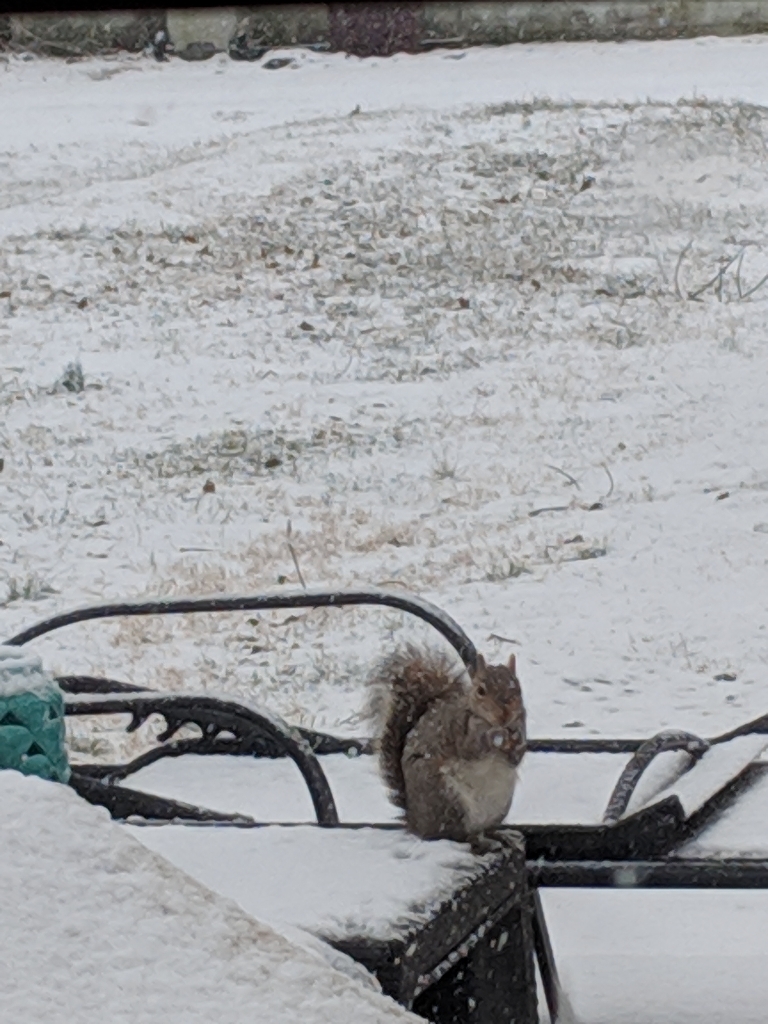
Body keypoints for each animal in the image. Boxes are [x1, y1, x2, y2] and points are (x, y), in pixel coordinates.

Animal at [366, 645, 526, 845]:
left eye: (517, 687)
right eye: (481, 690)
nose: (504, 714)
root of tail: (415, 823)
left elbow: (515, 758)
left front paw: (515, 740)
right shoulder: (460, 730)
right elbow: (471, 749)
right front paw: (494, 735)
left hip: (500, 804)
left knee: (482, 829)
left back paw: (501, 836)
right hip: (445, 797)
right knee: (456, 835)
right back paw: (479, 840)